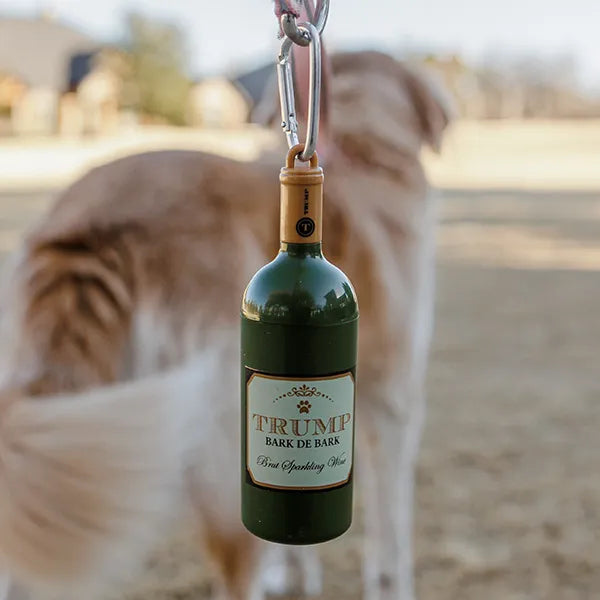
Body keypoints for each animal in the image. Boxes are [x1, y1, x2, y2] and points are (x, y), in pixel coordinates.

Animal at [0, 50, 448, 600]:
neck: (364, 153)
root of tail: (89, 223)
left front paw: (297, 570)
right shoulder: (394, 403)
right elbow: (390, 535)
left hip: (73, 433)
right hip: (214, 438)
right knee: (236, 563)